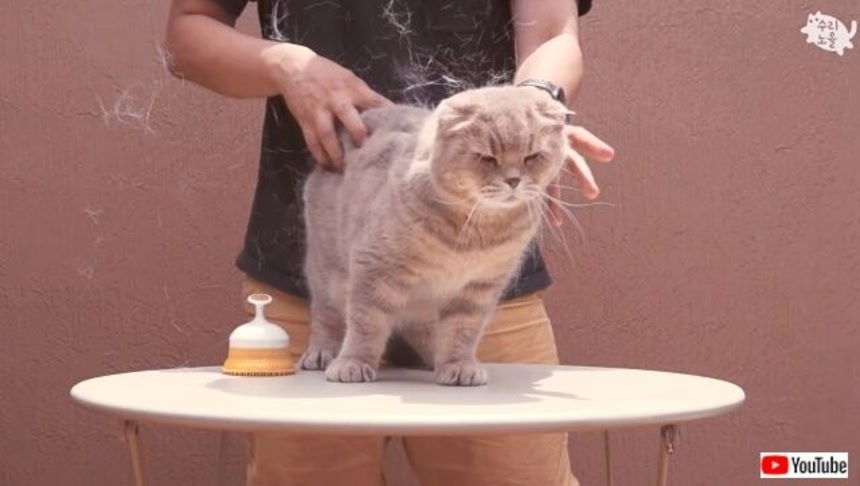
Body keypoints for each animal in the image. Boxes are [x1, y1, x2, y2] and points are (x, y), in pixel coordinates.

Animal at [298, 86, 569, 386]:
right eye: (487, 158)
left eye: (532, 157)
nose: (513, 181)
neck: (475, 231)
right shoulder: (374, 268)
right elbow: (366, 322)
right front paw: (353, 363)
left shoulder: (477, 289)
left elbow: (461, 332)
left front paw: (458, 365)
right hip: (326, 275)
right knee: (326, 316)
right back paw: (322, 352)